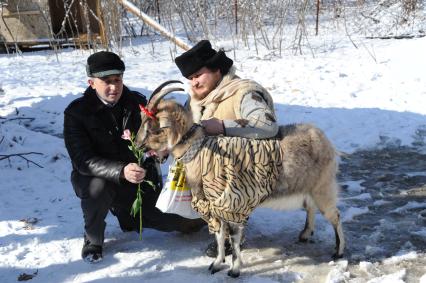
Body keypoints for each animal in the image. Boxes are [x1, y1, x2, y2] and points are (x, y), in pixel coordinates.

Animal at [136, 81, 346, 278]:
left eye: (154, 129)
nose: (138, 146)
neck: (203, 153)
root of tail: (322, 138)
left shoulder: (234, 204)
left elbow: (234, 239)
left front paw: (234, 270)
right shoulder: (215, 207)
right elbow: (220, 235)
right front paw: (216, 264)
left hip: (323, 187)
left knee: (334, 215)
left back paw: (338, 252)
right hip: (309, 187)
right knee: (310, 207)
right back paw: (305, 234)